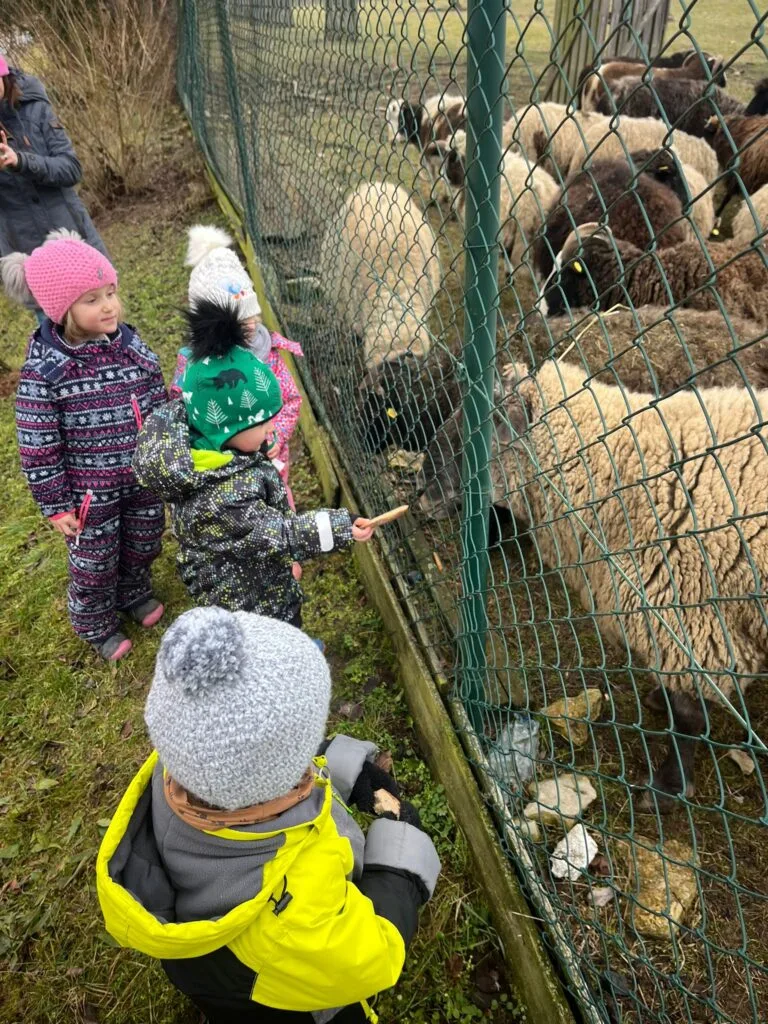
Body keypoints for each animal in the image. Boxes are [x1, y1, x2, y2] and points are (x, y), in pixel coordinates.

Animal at [420, 356, 768, 810]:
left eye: (475, 433)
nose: (421, 491)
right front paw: (659, 707)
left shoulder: (694, 628)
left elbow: (689, 717)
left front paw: (668, 789)